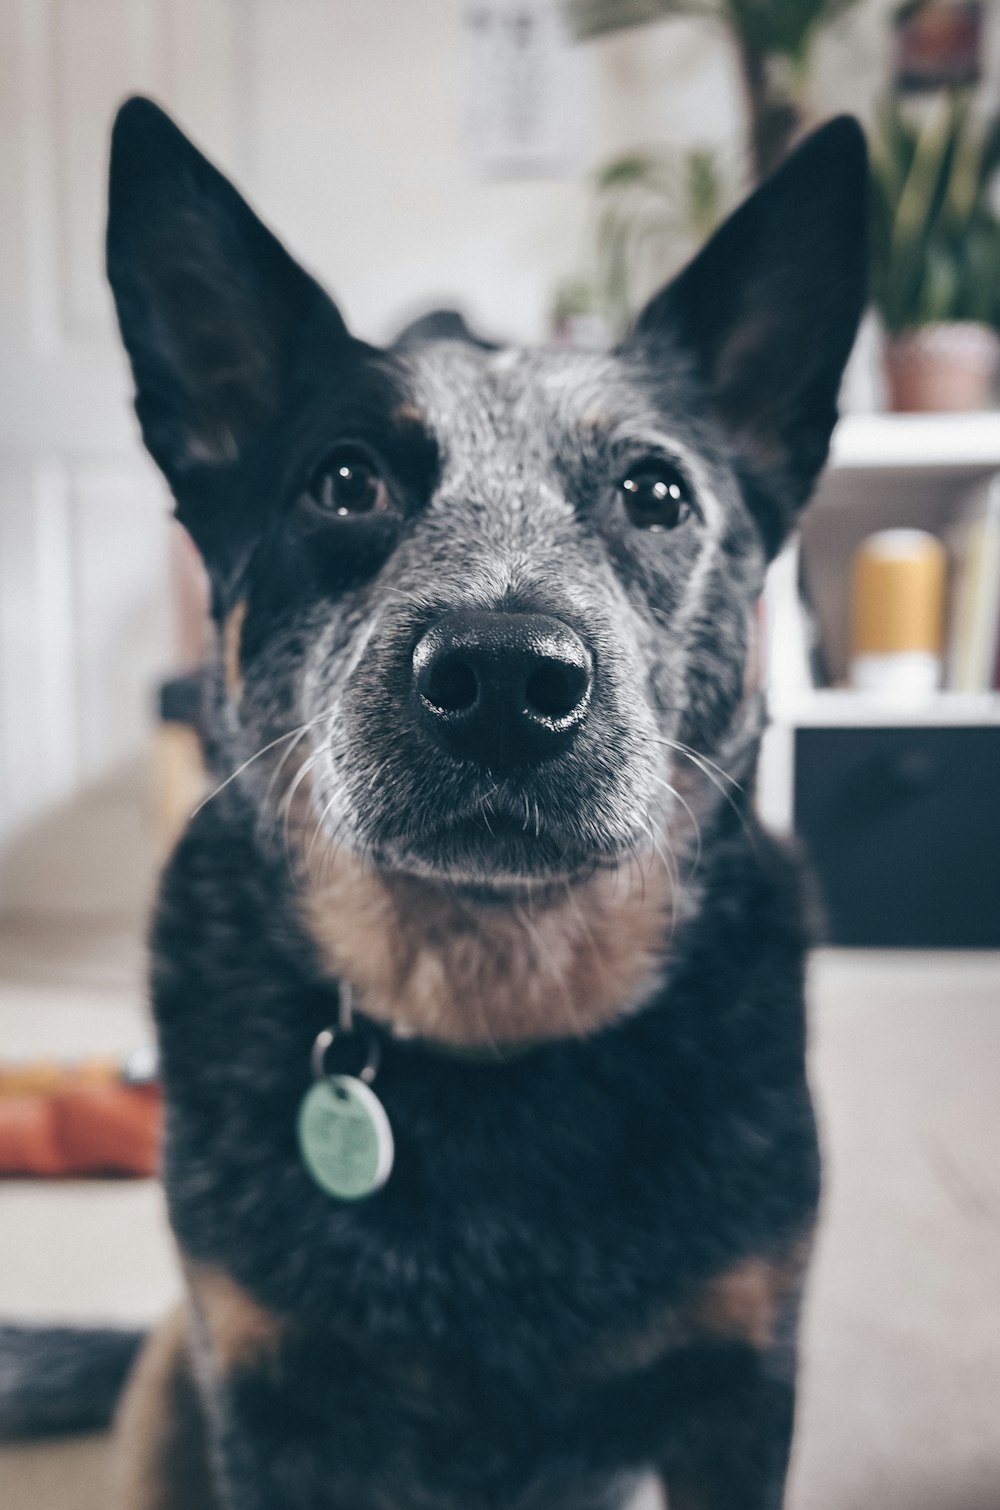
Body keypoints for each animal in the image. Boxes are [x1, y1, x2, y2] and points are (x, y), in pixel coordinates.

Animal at [1, 97, 870, 1510]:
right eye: (344, 482)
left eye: (655, 493)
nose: (507, 678)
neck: (490, 1005)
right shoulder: (270, 1404)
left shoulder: (741, 1392)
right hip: (169, 1389)